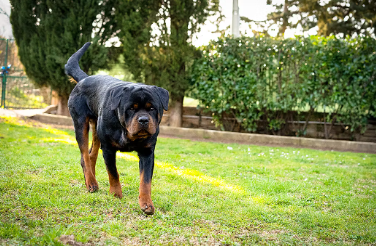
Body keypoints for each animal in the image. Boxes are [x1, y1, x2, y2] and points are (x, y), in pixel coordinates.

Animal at [65, 43, 169, 214]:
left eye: (152, 108)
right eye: (131, 108)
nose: (143, 119)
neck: (126, 132)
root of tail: (85, 78)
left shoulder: (147, 152)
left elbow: (146, 180)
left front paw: (146, 203)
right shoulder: (108, 148)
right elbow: (113, 172)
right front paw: (115, 194)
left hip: (96, 129)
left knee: (91, 154)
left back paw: (92, 179)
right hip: (80, 123)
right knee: (84, 156)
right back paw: (91, 183)